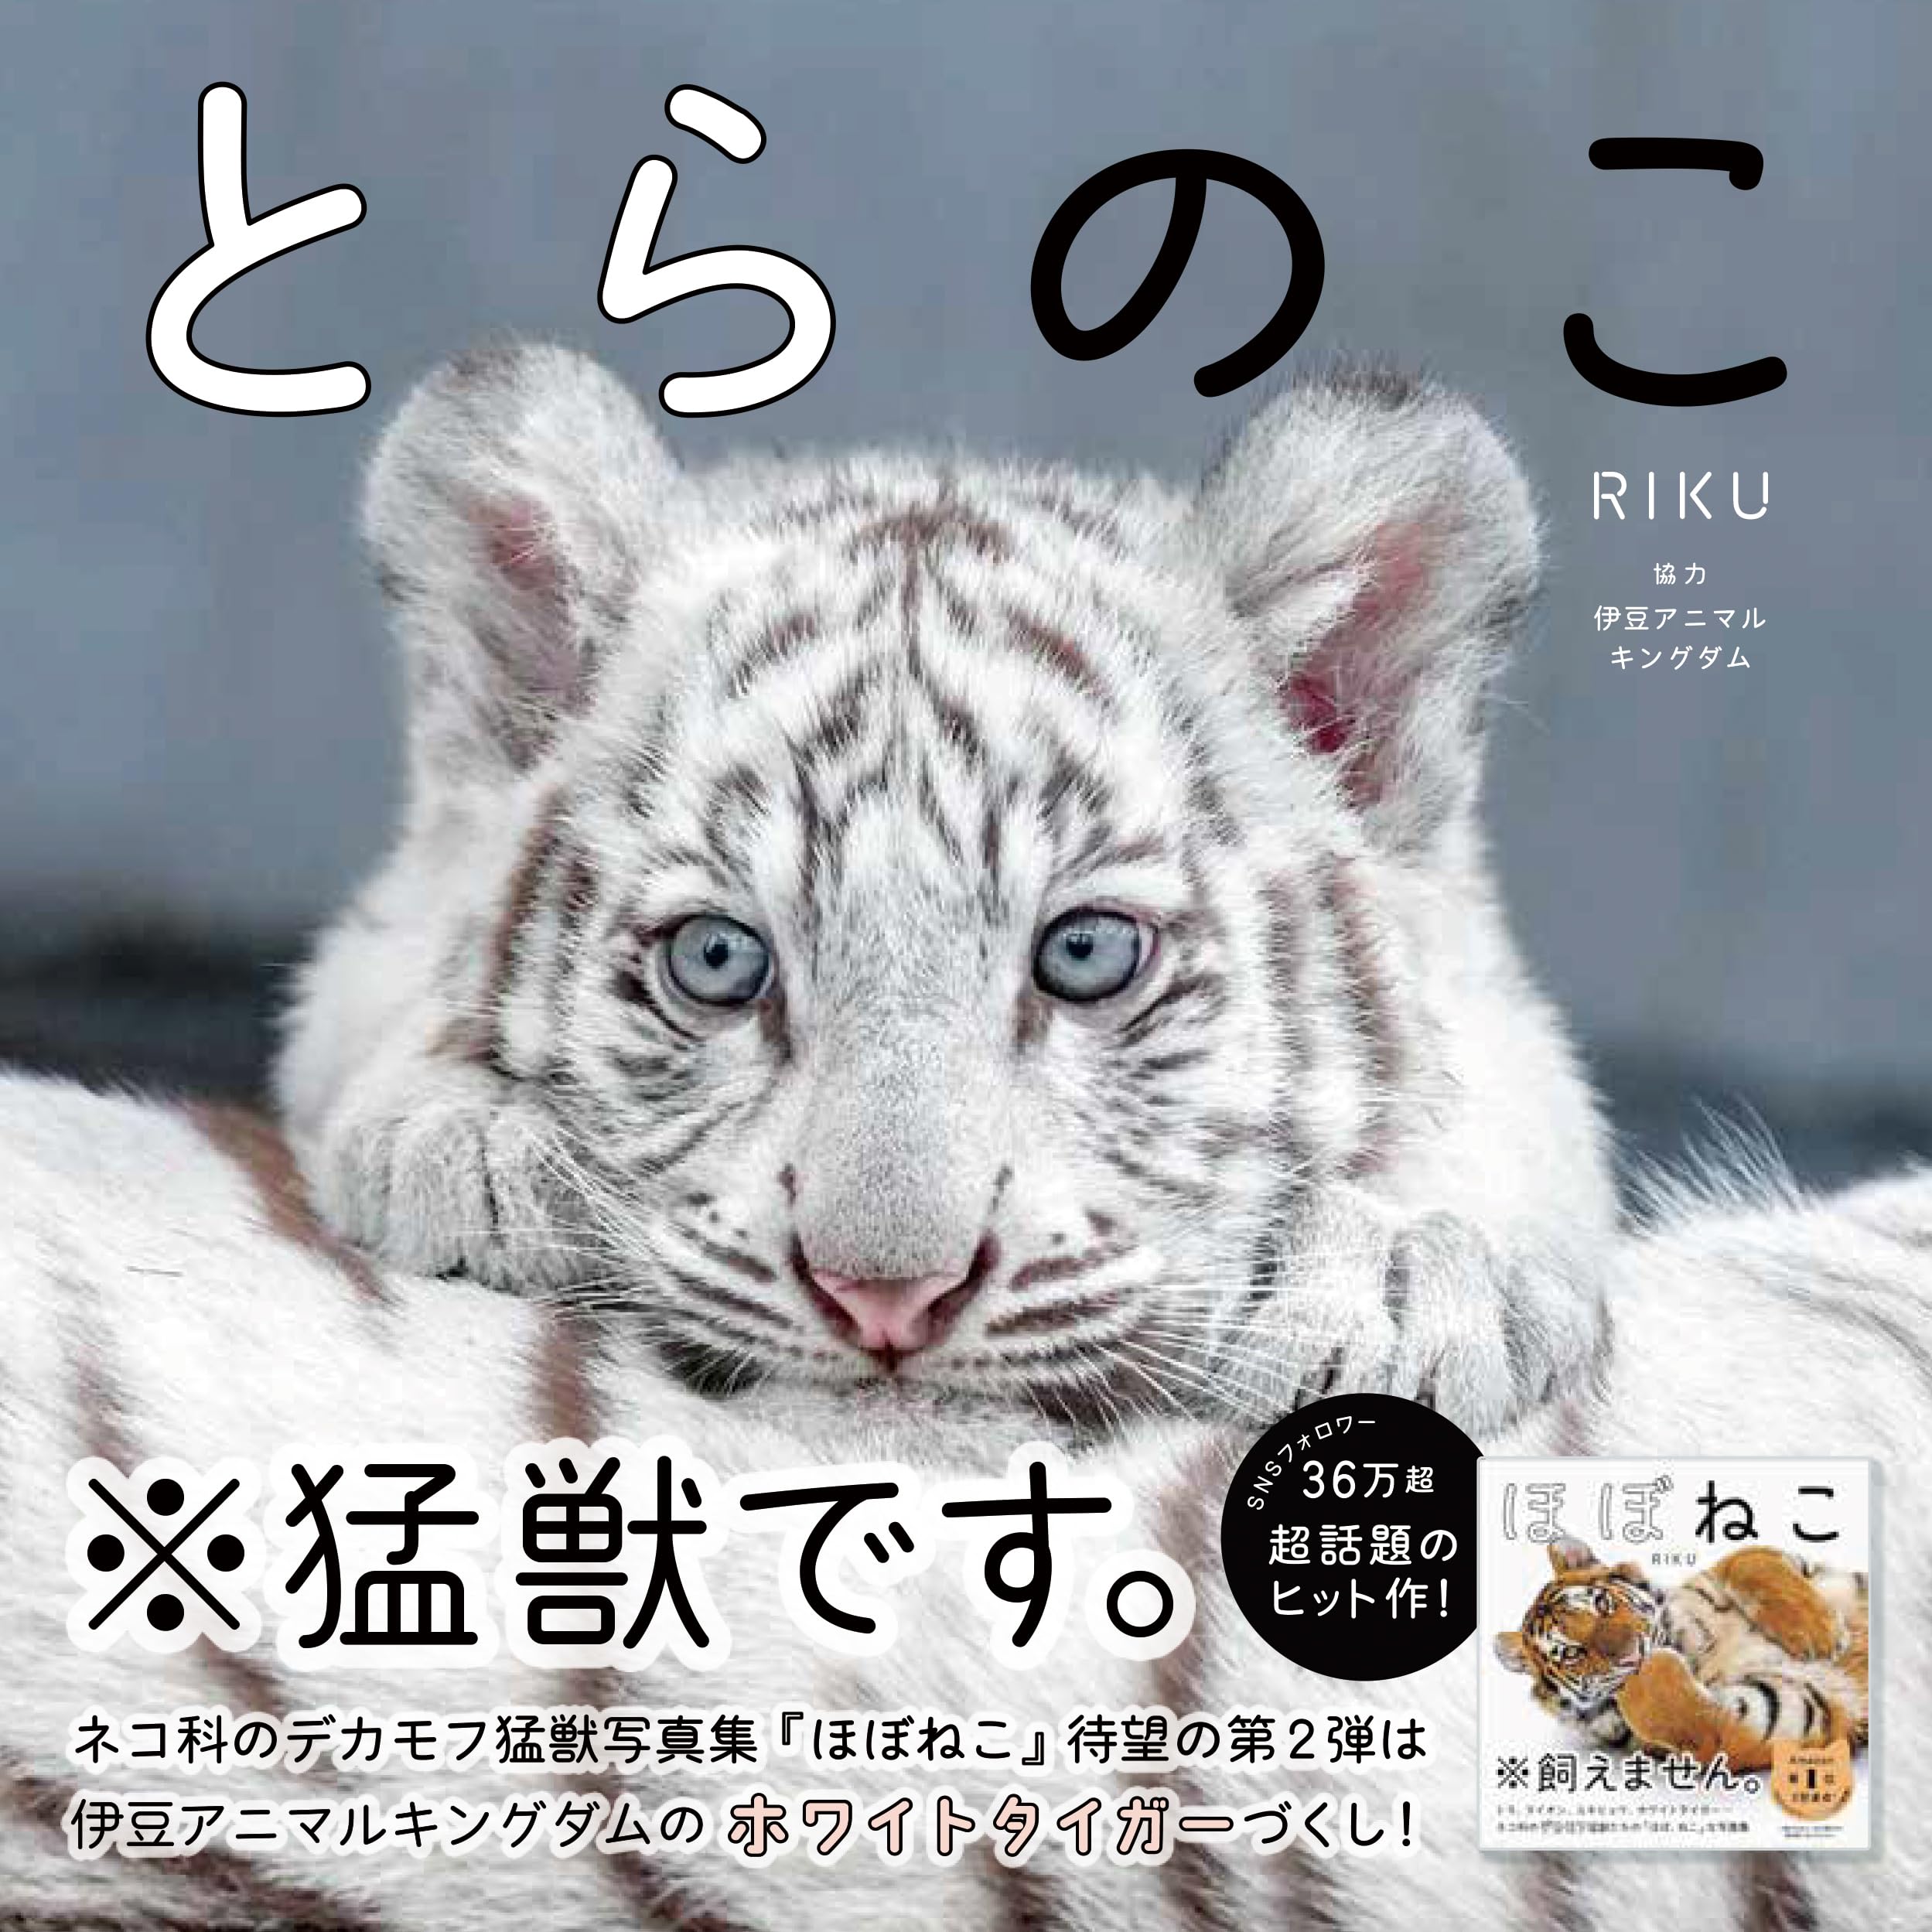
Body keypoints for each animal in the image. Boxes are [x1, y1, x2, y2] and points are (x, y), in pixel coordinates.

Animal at [1496, 1537, 1870, 1770]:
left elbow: (1746, 1561)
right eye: (1570, 1653)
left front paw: (1821, 1635)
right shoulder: (1775, 1712)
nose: (1632, 1655)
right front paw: (1639, 1675)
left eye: (1602, 1604)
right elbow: (1681, 1716)